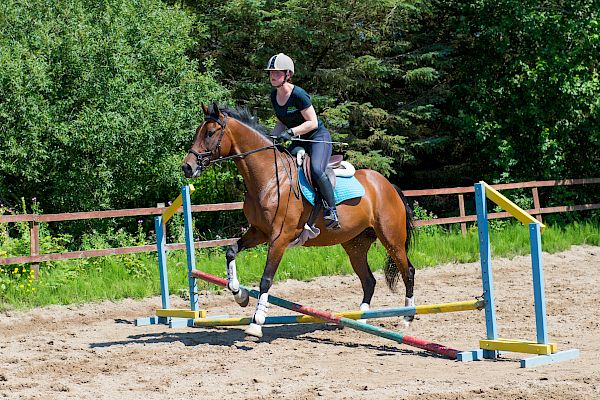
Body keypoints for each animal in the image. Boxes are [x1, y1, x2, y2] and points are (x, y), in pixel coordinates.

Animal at [182, 103, 418, 338]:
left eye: (210, 133)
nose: (187, 167)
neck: (270, 177)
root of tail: (387, 184)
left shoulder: (280, 237)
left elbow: (266, 279)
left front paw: (256, 322)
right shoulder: (259, 231)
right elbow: (231, 251)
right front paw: (239, 295)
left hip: (392, 239)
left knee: (408, 271)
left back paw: (406, 318)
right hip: (355, 245)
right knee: (369, 280)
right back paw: (360, 319)